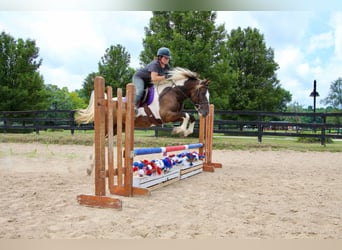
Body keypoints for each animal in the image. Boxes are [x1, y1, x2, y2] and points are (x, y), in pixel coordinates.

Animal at [74, 67, 210, 175]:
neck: (174, 92)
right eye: (201, 93)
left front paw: (186, 132)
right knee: (97, 141)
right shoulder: (166, 116)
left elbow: (191, 117)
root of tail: (105, 102)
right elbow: (186, 116)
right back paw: (90, 168)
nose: (205, 113)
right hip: (109, 126)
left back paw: (93, 168)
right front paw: (179, 130)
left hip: (117, 128)